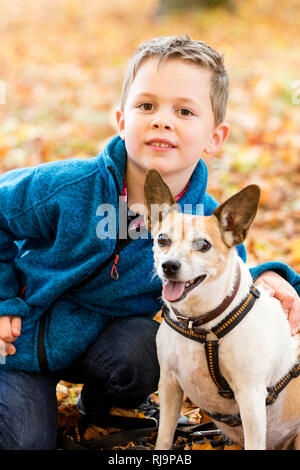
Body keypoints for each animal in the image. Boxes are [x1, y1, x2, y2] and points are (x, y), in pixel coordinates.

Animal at [144, 170, 300, 452]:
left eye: (203, 245)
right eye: (162, 240)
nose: (168, 265)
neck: (201, 323)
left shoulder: (250, 398)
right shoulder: (169, 384)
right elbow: (164, 436)